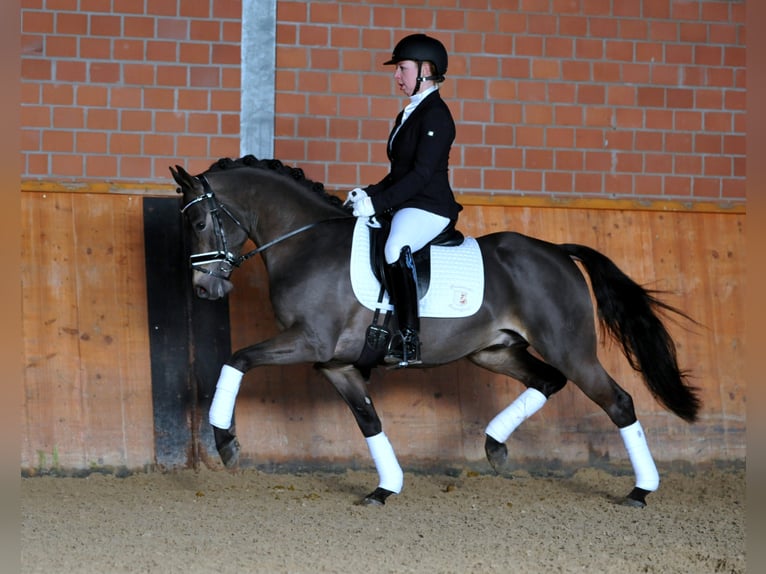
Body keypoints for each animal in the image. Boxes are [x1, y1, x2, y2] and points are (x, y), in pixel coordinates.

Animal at [170, 155, 700, 508]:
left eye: (198, 222)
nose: (204, 289)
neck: (306, 241)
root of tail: (556, 251)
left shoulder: (309, 342)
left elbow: (236, 359)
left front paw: (225, 442)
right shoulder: (334, 362)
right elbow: (369, 421)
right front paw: (385, 488)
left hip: (570, 348)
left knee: (618, 402)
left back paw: (639, 491)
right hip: (493, 351)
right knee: (547, 382)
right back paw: (495, 447)